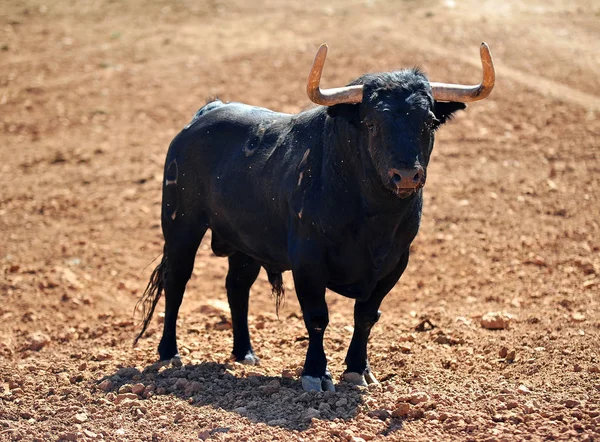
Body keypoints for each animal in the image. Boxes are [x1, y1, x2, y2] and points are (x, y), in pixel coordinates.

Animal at [137, 44, 496, 390]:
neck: (373, 218)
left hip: (244, 243)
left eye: (429, 121)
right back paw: (169, 353)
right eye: (371, 123)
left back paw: (245, 353)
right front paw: (315, 374)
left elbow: (366, 315)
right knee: (177, 282)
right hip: (181, 226)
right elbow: (317, 317)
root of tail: (206, 113)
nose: (406, 175)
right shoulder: (308, 261)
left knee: (237, 287)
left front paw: (358, 370)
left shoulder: (394, 263)